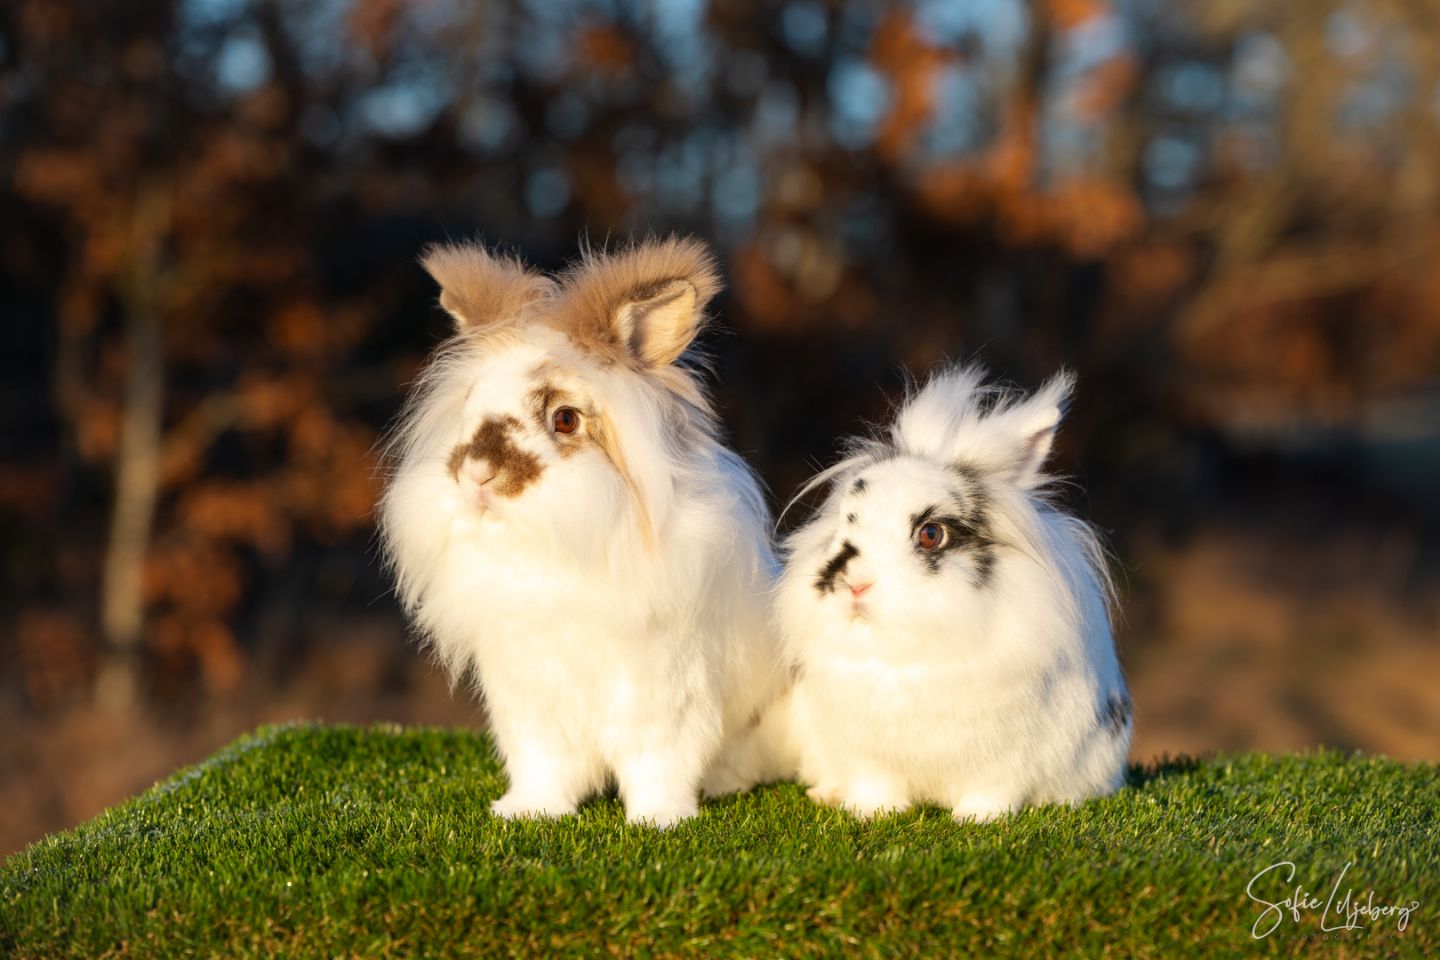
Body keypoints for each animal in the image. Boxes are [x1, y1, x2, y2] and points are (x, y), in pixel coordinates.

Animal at [378, 237, 786, 827]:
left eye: (566, 419)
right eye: (472, 405)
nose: (476, 474)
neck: (552, 551)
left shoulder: (664, 697)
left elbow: (658, 762)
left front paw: (659, 821)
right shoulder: (530, 702)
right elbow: (543, 765)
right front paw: (527, 812)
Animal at [774, 365, 1131, 822]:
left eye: (930, 534)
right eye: (844, 522)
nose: (855, 584)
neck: (906, 653)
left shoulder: (1007, 758)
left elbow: (993, 789)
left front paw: (977, 820)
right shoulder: (867, 753)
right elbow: (875, 784)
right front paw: (872, 813)